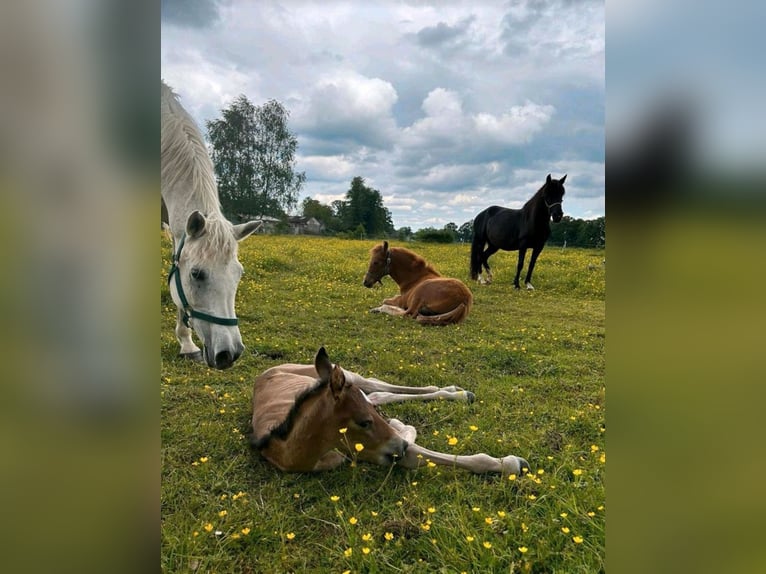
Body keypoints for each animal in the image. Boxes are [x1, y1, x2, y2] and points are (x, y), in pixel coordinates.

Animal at [249, 352, 532, 476]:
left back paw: (456, 393)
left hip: (347, 375)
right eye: (363, 423)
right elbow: (410, 454)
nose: (401, 446)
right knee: (376, 394)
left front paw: (512, 463)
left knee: (374, 384)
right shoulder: (377, 451)